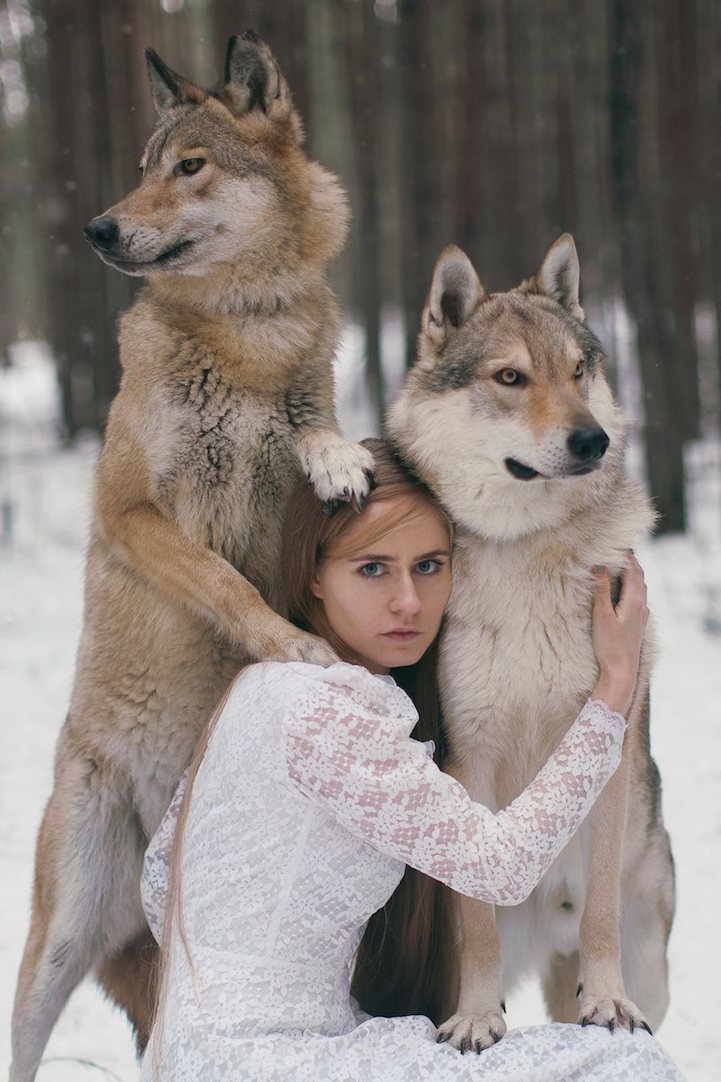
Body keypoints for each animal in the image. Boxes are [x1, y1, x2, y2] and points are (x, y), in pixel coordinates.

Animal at [9, 33, 370, 1082]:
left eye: (191, 165)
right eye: (143, 167)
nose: (98, 227)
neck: (246, 331)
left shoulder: (286, 467)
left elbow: (316, 435)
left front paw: (339, 457)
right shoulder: (130, 511)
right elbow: (222, 580)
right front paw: (291, 646)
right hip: (58, 942)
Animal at [387, 234, 675, 1047]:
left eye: (577, 371)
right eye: (511, 377)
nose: (593, 438)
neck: (528, 554)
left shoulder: (606, 752)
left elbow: (602, 910)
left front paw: (607, 1003)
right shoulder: (469, 760)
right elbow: (478, 926)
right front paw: (479, 1019)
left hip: (653, 959)